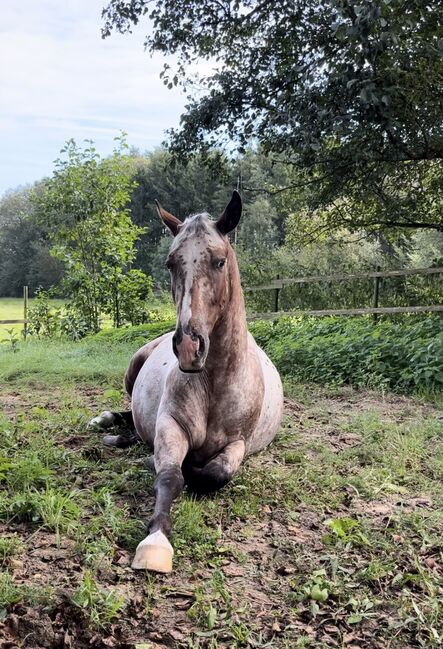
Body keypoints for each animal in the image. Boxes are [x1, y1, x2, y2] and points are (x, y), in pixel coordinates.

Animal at [89, 191, 284, 572]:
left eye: (220, 262)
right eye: (170, 263)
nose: (189, 348)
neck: (214, 384)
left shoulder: (238, 443)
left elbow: (213, 474)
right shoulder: (170, 426)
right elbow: (170, 476)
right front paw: (155, 542)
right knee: (127, 413)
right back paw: (107, 425)